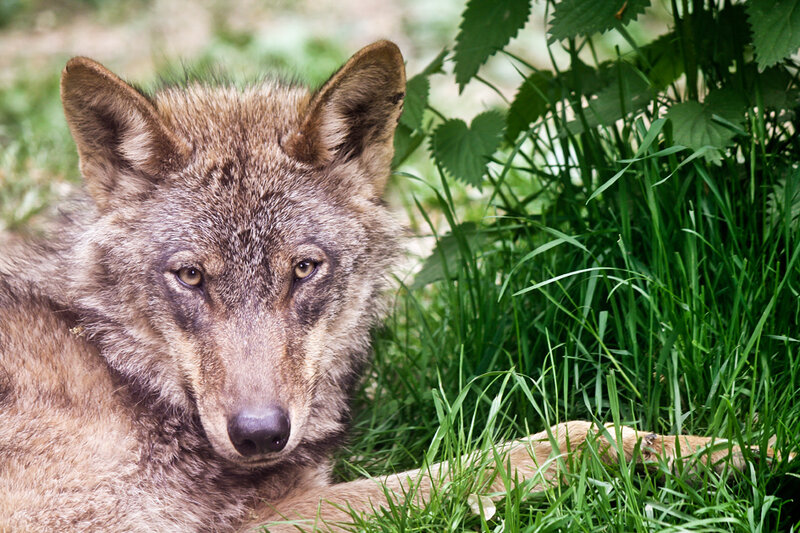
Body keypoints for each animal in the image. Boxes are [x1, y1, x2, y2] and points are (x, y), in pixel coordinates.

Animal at [0, 41, 765, 532]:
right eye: (190, 275)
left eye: (304, 268)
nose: (260, 434)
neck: (119, 367)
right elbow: (550, 444)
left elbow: (565, 433)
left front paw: (736, 453)